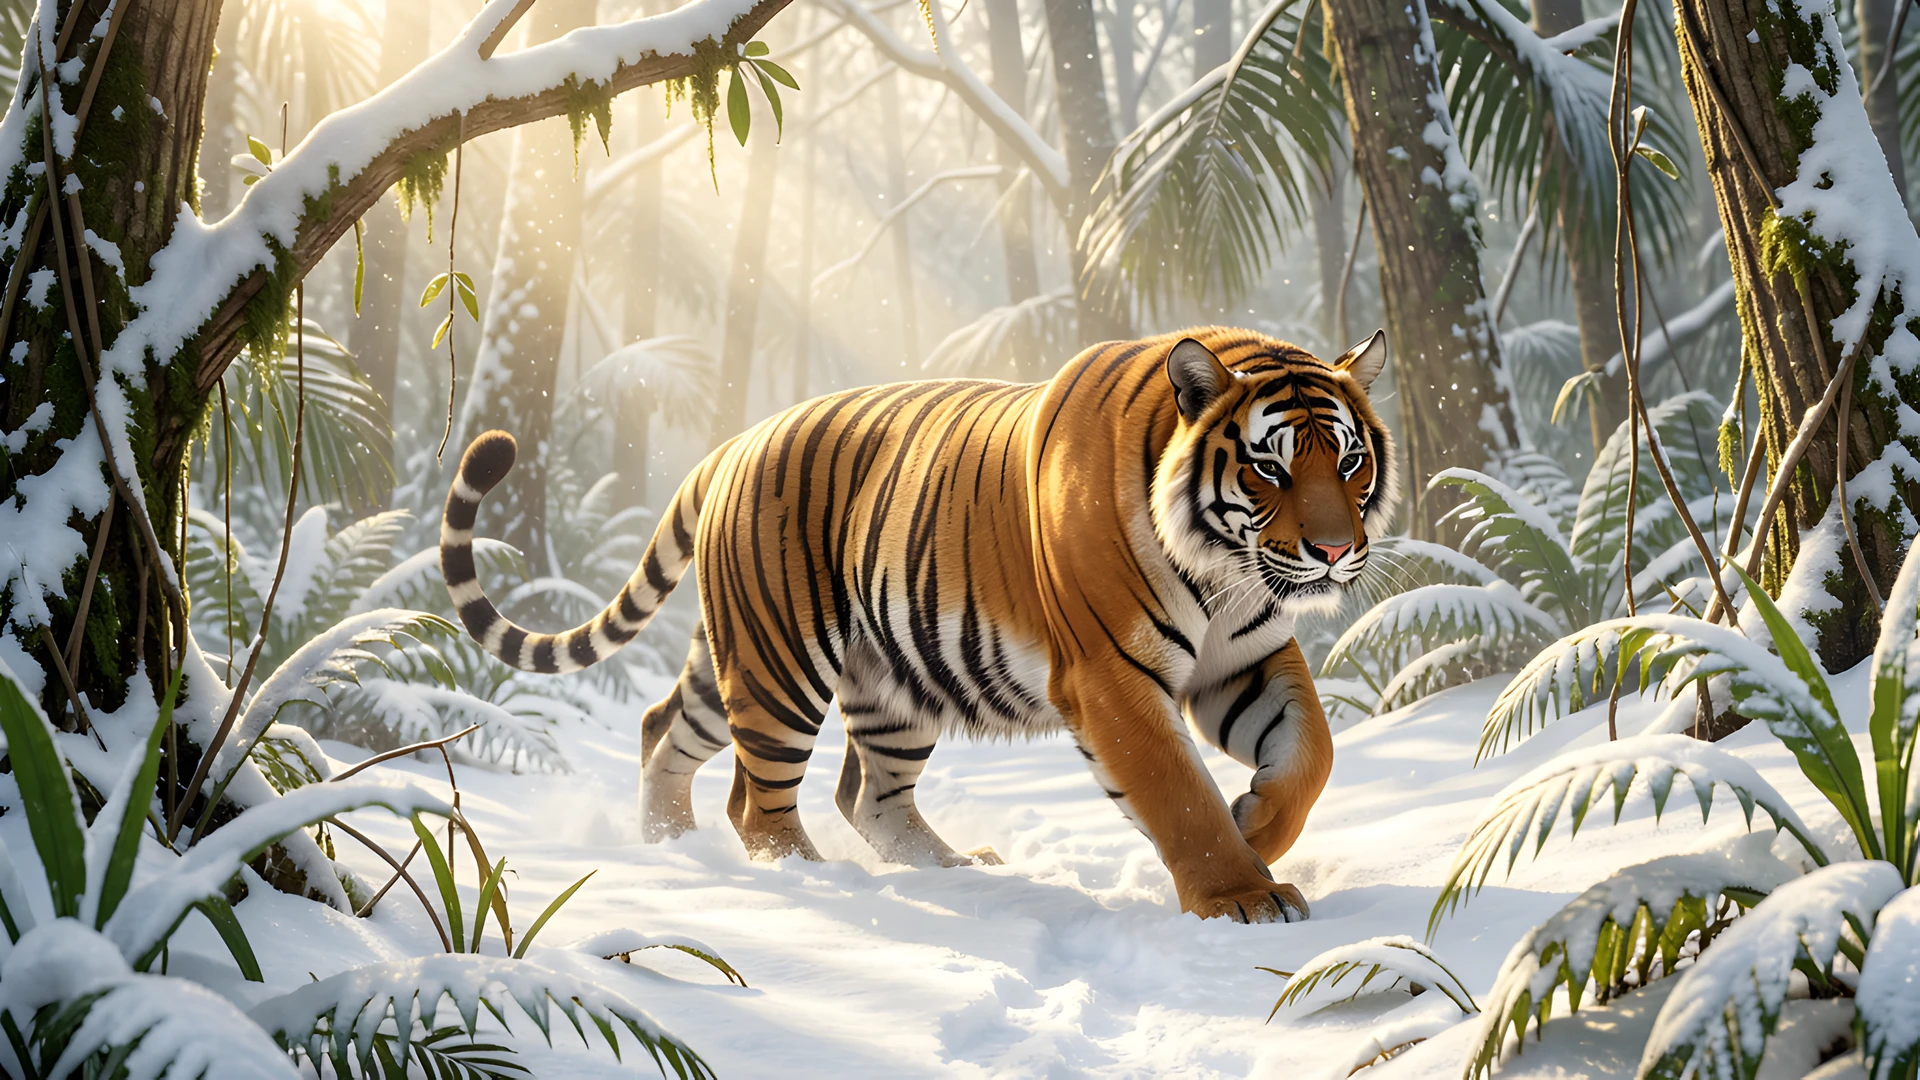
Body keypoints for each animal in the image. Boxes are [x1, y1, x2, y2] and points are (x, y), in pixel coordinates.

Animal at [440, 327, 1393, 923]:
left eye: (1349, 460)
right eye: (1270, 468)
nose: (1336, 550)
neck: (1225, 571)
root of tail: (733, 442)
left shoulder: (1246, 657)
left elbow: (1312, 754)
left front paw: (1256, 822)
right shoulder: (1111, 674)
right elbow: (1177, 793)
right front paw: (1241, 894)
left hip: (839, 673)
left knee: (735, 752)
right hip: (781, 662)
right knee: (760, 799)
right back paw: (809, 877)